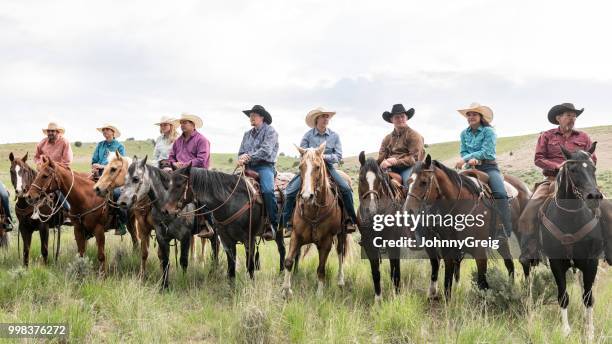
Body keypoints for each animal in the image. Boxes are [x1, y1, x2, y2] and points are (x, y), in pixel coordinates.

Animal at [117, 157, 196, 290]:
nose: (122, 203)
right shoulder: (160, 236)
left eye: (136, 179)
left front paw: (183, 282)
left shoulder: (185, 236)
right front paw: (163, 285)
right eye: (125, 178)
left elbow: (183, 261)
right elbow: (163, 260)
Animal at [282, 144, 350, 296]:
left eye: (318, 167)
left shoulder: (326, 241)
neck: (313, 211)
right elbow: (288, 261)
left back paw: (341, 281)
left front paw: (319, 294)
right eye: (300, 166)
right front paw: (286, 290)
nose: (307, 196)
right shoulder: (296, 235)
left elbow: (321, 268)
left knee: (340, 253)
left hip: (341, 233)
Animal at [354, 152, 406, 302]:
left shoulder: (394, 243)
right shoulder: (369, 244)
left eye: (380, 180)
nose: (371, 210)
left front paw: (397, 295)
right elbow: (375, 272)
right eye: (361, 179)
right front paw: (378, 299)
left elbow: (395, 270)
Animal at [404, 155, 528, 300]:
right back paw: (511, 289)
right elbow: (447, 283)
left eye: (423, 182)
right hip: (501, 241)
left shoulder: (479, 252)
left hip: (520, 232)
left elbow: (482, 284)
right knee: (510, 264)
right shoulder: (448, 251)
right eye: (408, 182)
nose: (408, 211)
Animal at [536, 143, 600, 338]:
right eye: (573, 169)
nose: (594, 197)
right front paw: (565, 330)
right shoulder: (556, 264)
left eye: (593, 168)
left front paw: (590, 331)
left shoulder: (590, 263)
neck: (570, 220)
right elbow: (563, 296)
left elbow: (588, 297)